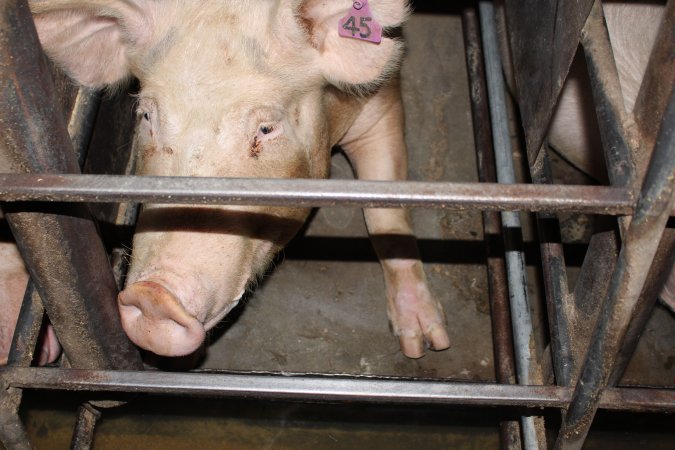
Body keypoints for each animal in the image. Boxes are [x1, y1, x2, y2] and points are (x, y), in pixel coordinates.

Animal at [26, 0, 452, 358]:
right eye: (147, 116)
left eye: (266, 128)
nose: (154, 297)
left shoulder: (382, 99)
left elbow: (388, 213)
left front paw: (425, 344)